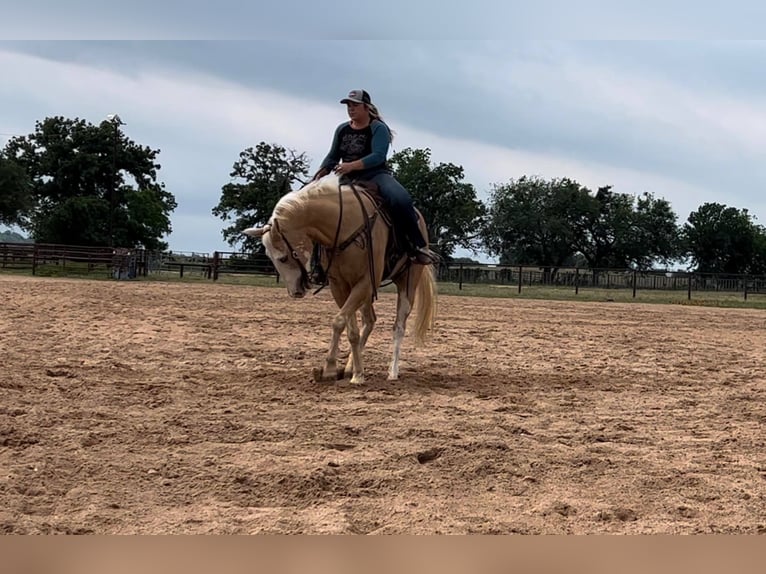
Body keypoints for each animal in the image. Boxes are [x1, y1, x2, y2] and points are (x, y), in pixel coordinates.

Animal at [246, 173, 438, 384]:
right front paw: (342, 369)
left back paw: (392, 372)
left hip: (406, 283)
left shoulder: (365, 283)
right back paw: (350, 367)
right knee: (370, 321)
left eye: (283, 257)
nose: (295, 291)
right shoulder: (340, 285)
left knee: (399, 326)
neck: (345, 224)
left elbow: (339, 321)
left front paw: (345, 371)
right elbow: (350, 329)